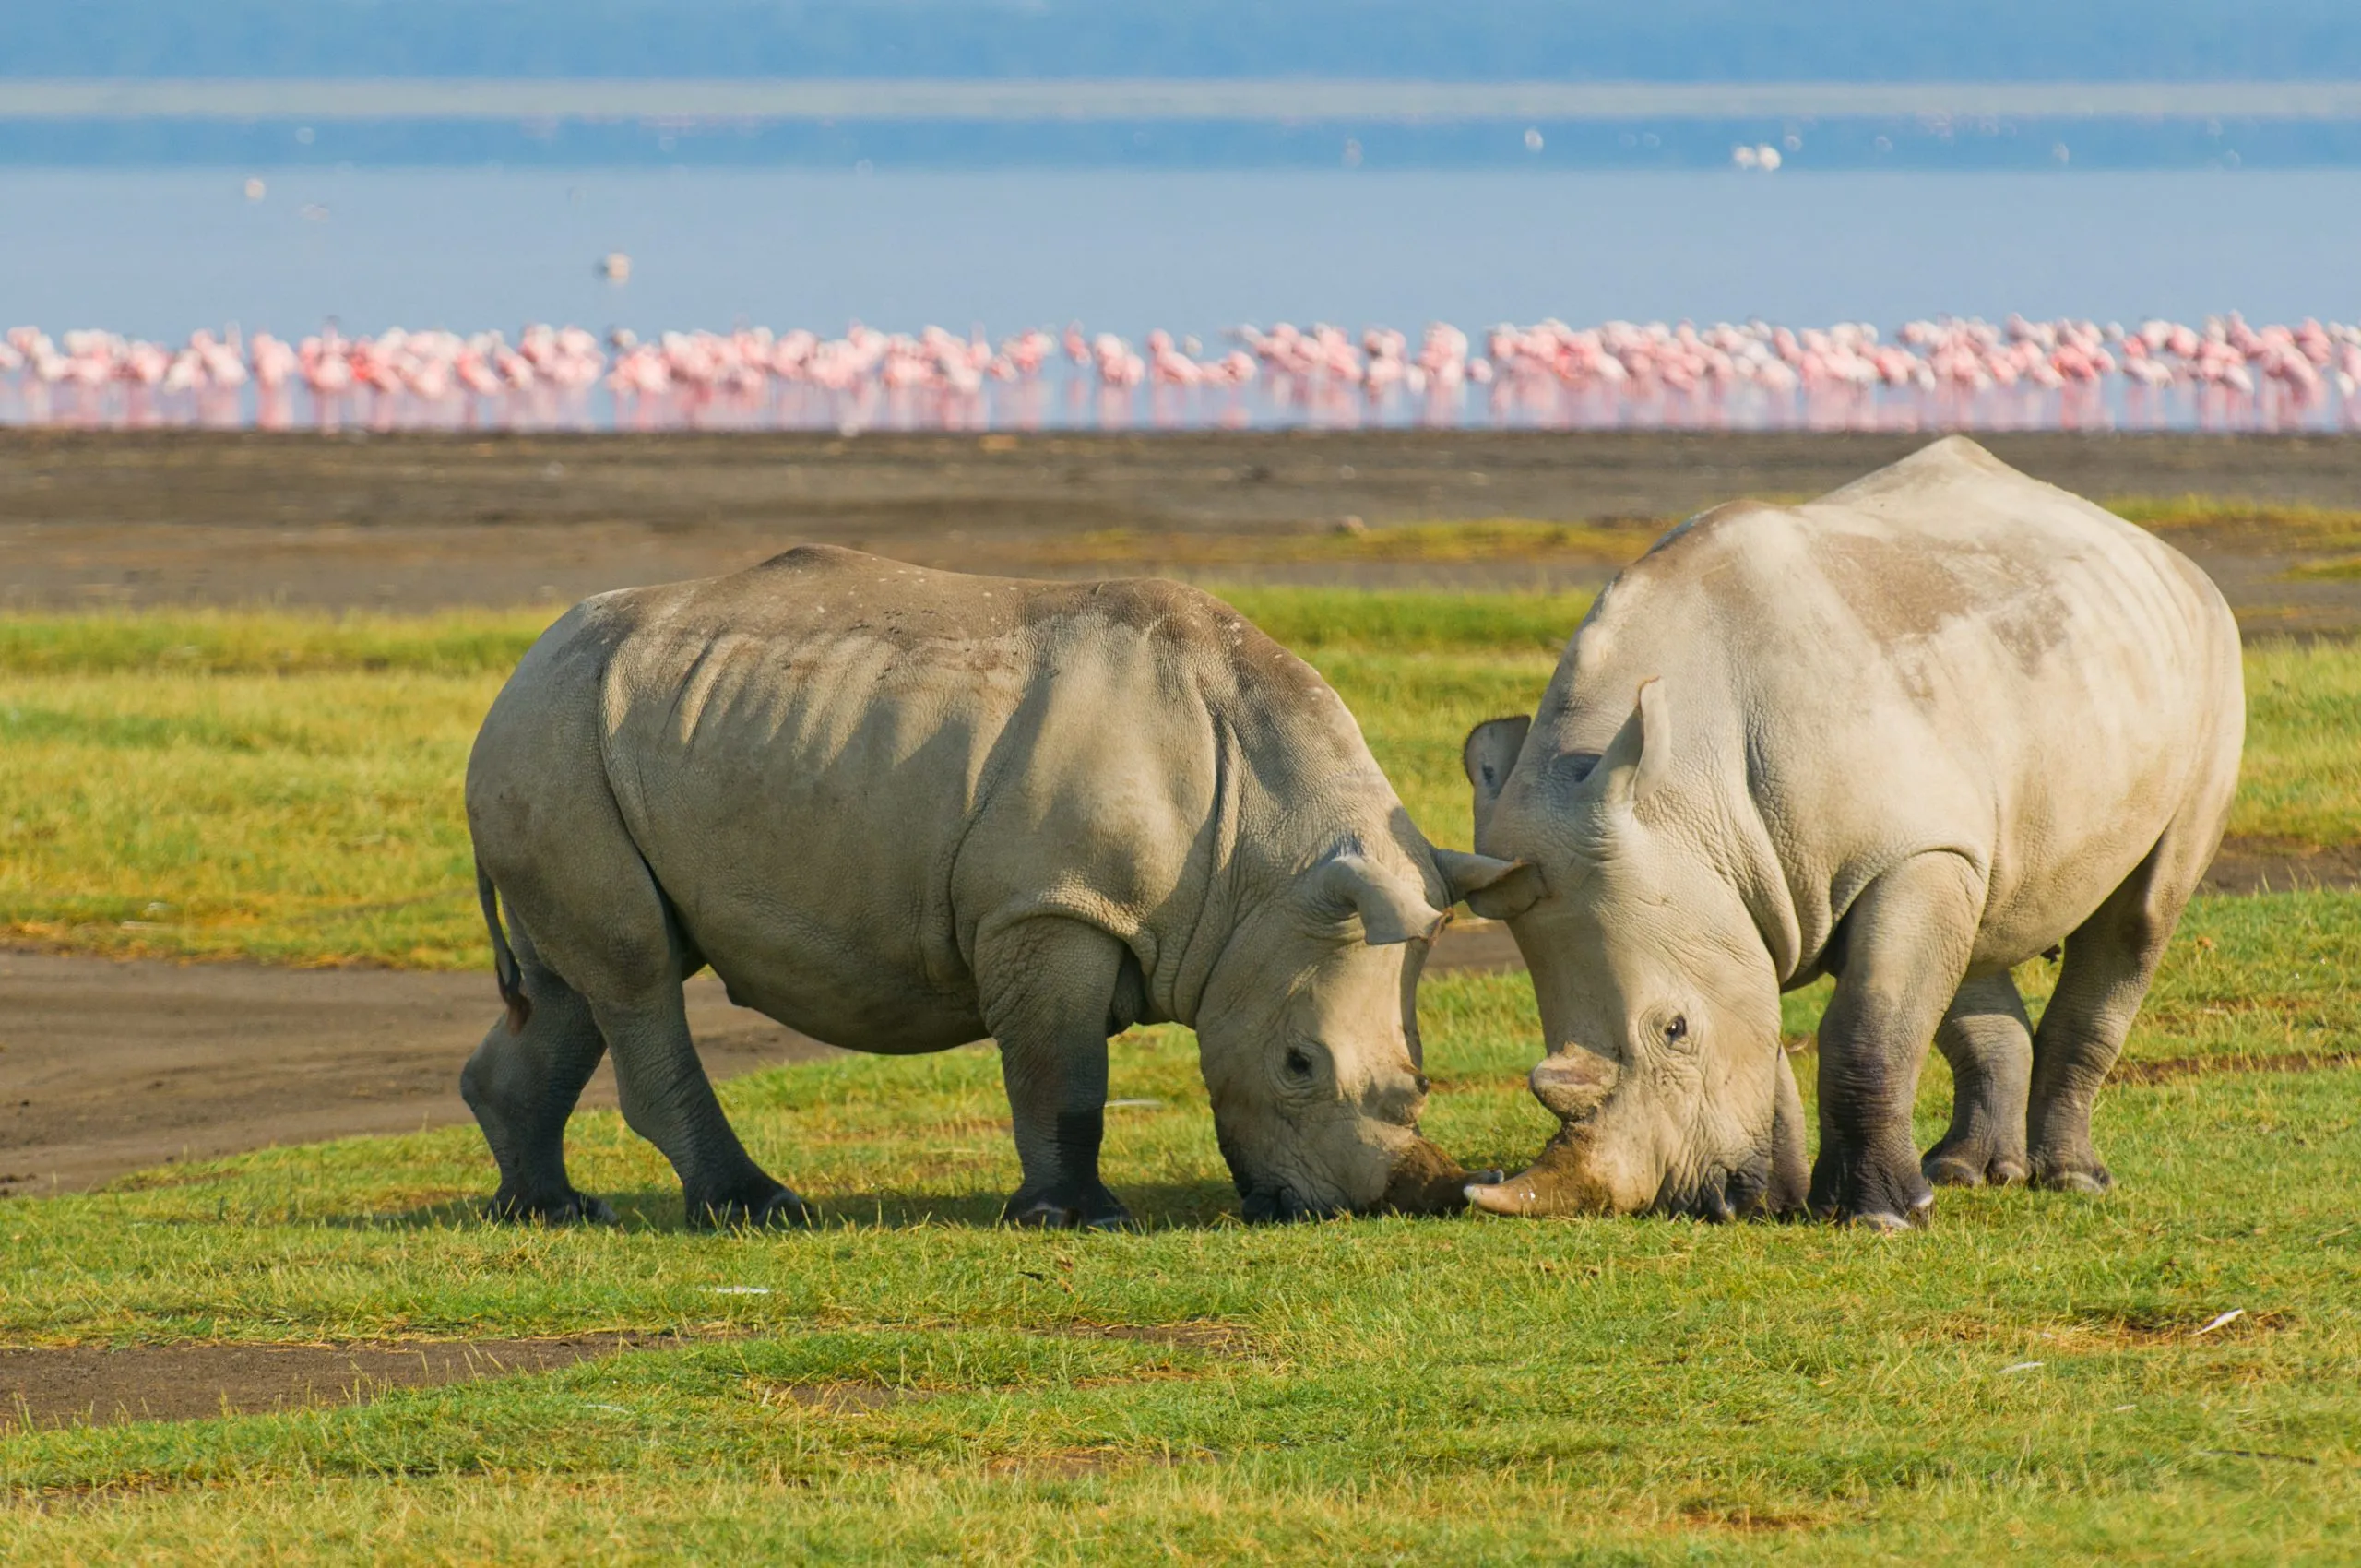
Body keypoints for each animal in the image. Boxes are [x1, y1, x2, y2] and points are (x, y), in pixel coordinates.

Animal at [463, 546, 1516, 1229]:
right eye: (1299, 1063)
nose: (1385, 1202)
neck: (1264, 857)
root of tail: (520, 667)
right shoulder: (1051, 903)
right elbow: (1063, 1072)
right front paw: (1078, 1218)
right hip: (556, 732)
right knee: (634, 968)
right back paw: (757, 1210)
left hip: (593, 734)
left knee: (573, 983)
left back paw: (552, 1210)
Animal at [1459, 437, 2244, 1228]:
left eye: (1674, 1029)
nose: (1697, 1203)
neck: (1683, 792)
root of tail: (2156, 549)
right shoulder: (1733, 887)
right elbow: (1768, 1025)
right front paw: (1784, 1200)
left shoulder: (1900, 851)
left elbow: (1866, 1025)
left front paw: (1877, 1218)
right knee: (1977, 922)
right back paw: (1966, 1173)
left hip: (2211, 656)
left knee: (2138, 918)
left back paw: (2071, 1180)